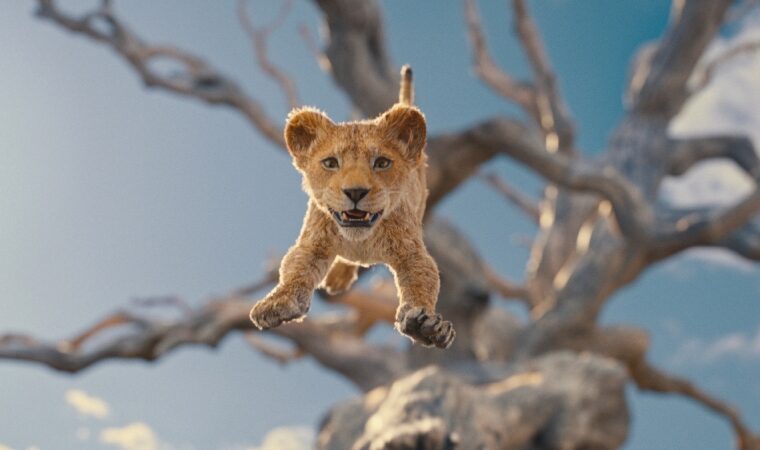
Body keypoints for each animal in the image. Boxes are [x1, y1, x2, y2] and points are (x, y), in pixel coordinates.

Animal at [249, 66, 455, 349]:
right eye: (330, 163)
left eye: (382, 163)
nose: (355, 192)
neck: (360, 239)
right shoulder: (313, 243)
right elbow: (294, 270)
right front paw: (277, 303)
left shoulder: (411, 252)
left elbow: (422, 280)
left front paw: (426, 326)